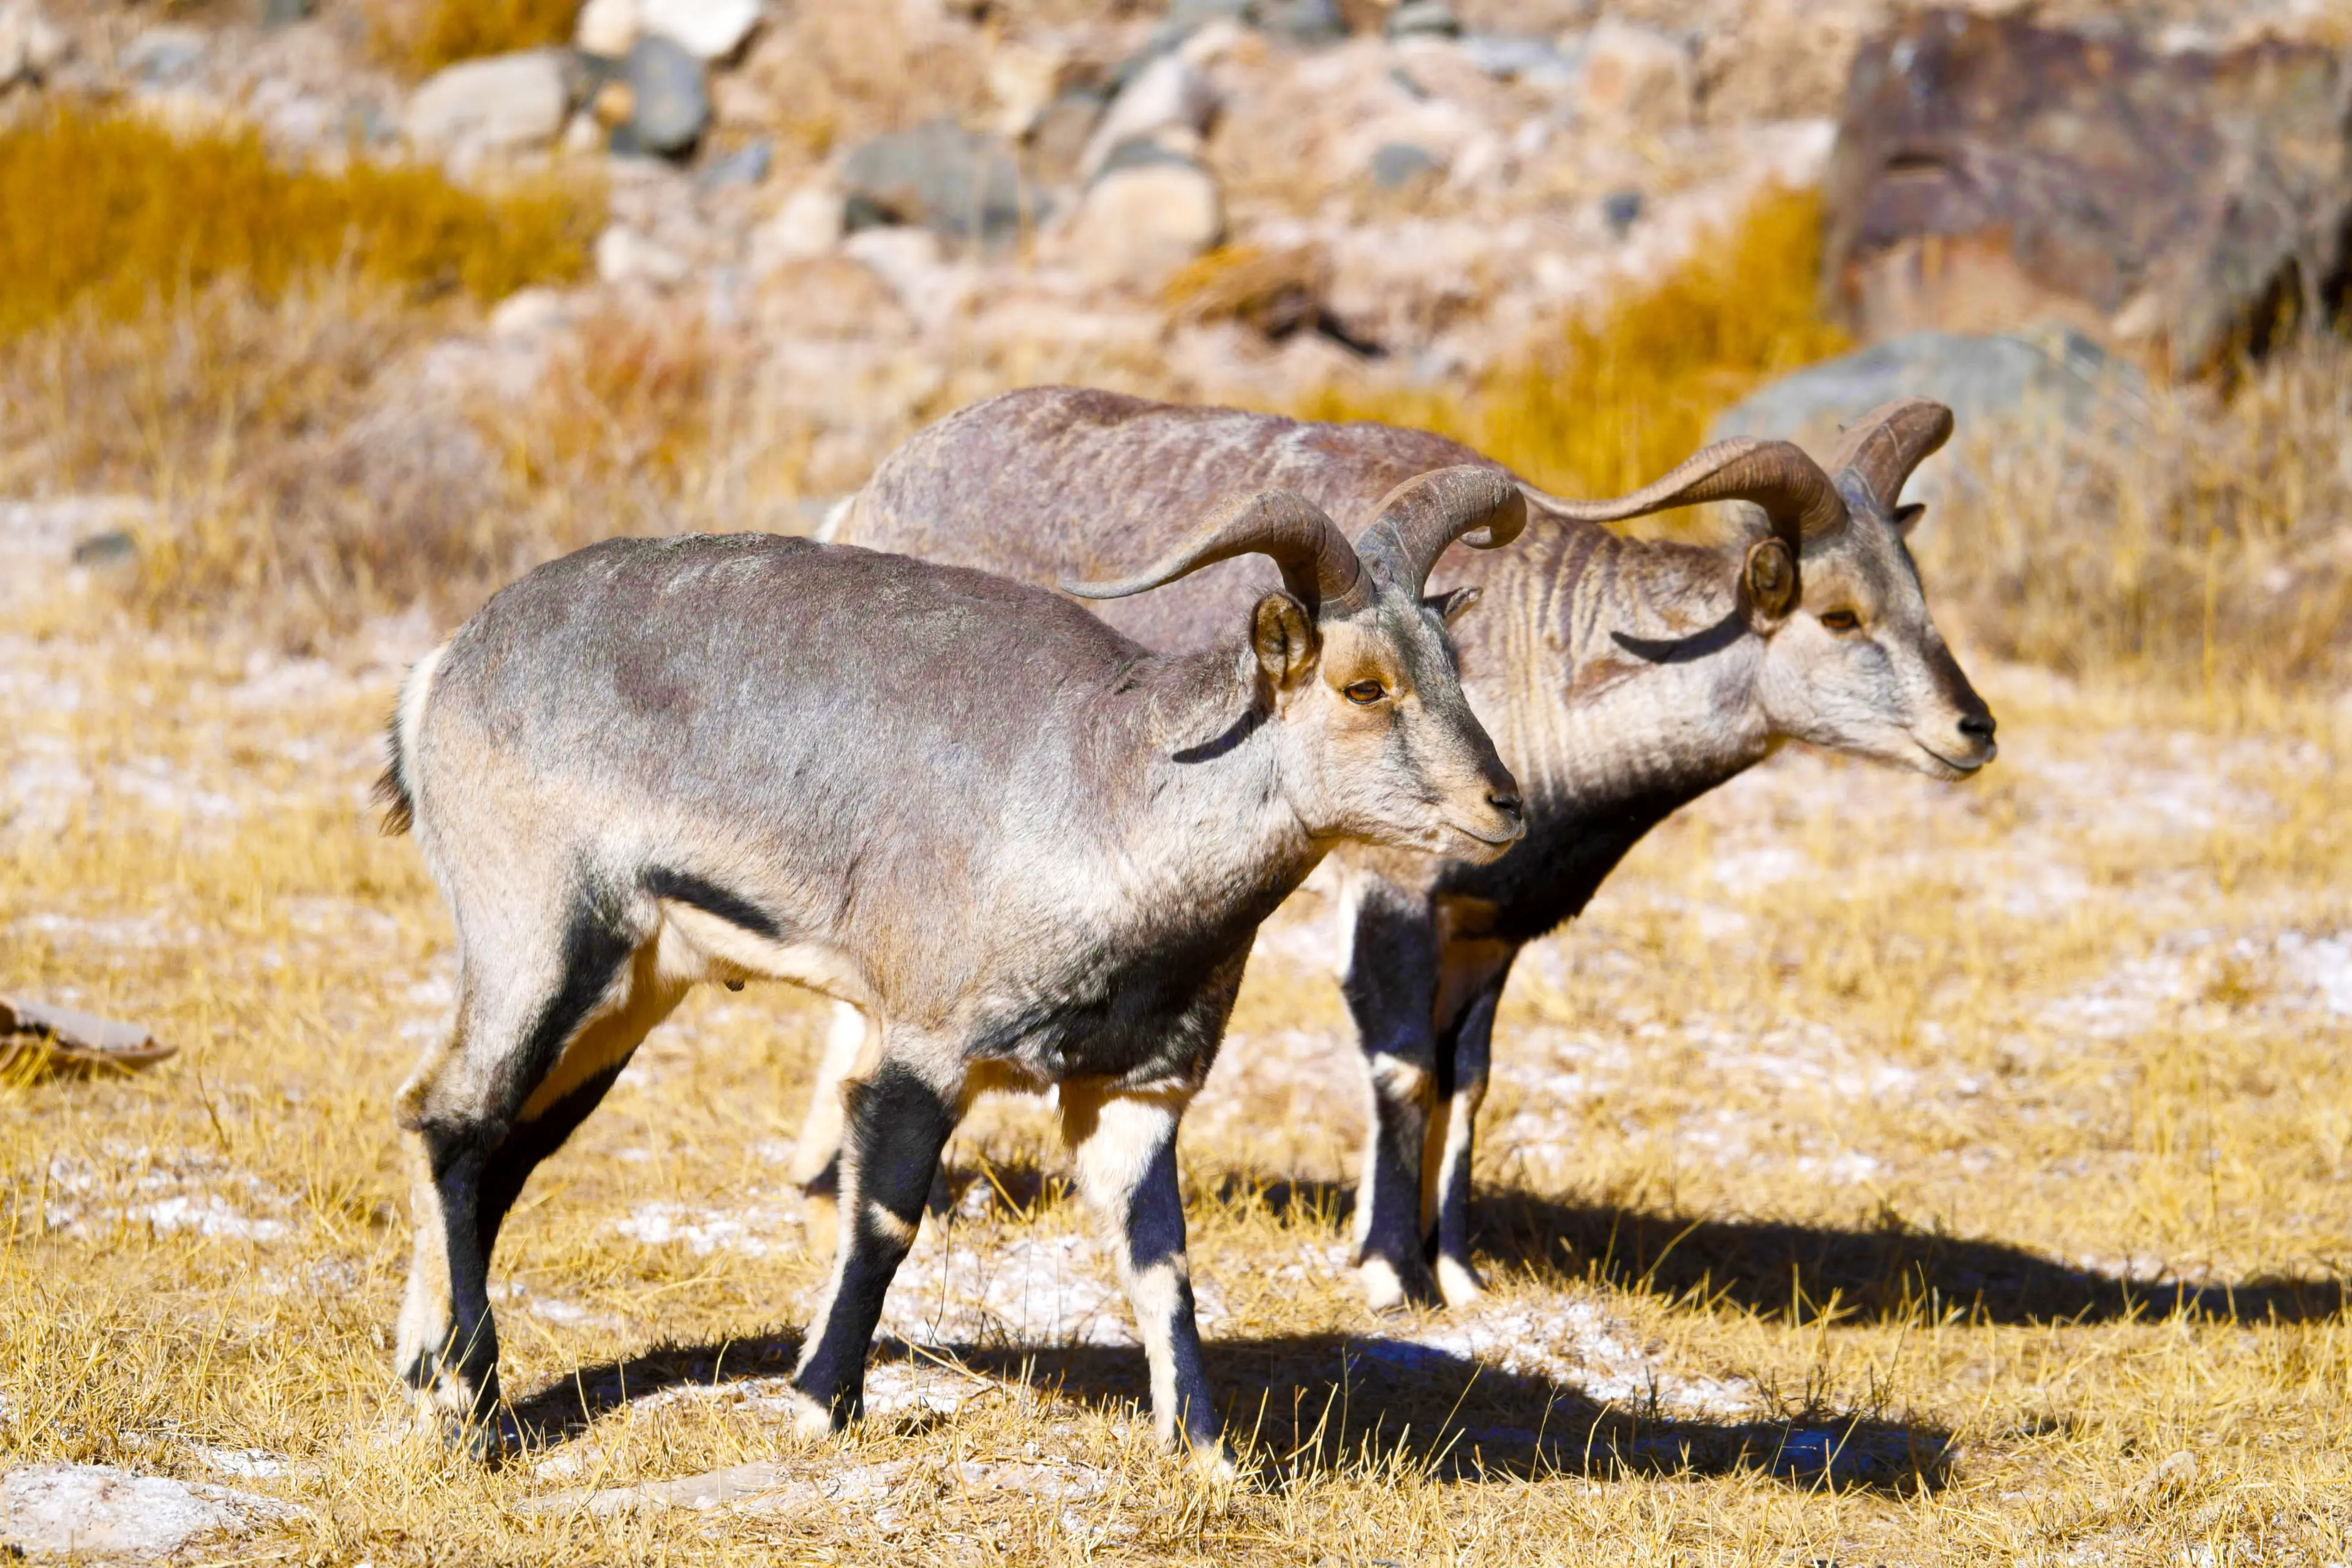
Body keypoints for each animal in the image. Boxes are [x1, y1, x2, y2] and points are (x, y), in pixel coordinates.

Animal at [377, 470, 1528, 1466]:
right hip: (536, 933)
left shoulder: (1137, 1086)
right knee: (449, 1116)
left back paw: (427, 1369)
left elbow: (1162, 1260)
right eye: (1363, 685)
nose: (1504, 805)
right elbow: (886, 1218)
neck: (1110, 793)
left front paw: (1205, 1449)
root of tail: (442, 671)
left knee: (502, 1146)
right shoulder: (926, 1047)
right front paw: (820, 1404)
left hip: (631, 985)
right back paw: (473, 1397)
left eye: (1453, 666)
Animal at [802, 387, 1996, 1313]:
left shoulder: (1490, 924)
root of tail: (874, 489)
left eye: (1919, 593)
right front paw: (1390, 1270)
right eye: (1840, 616)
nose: (1973, 728)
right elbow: (1404, 1063)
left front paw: (1459, 1269)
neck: (1544, 651)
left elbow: (1469, 1078)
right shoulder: (1398, 890)